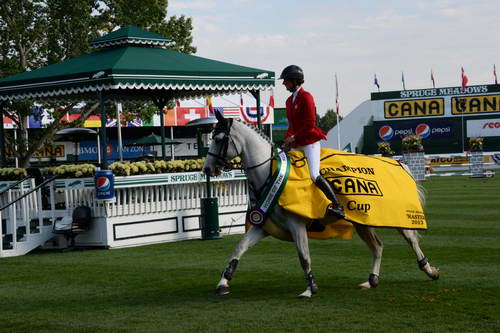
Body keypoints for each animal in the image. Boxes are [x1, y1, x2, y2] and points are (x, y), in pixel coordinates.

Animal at [203, 113, 438, 296]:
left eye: (219, 139)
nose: (207, 169)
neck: (269, 173)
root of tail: (397, 162)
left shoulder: (296, 225)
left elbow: (304, 256)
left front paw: (310, 288)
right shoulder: (263, 225)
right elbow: (238, 249)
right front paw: (223, 283)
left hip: (394, 216)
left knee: (410, 239)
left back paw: (430, 270)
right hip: (362, 221)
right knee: (378, 247)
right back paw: (371, 280)